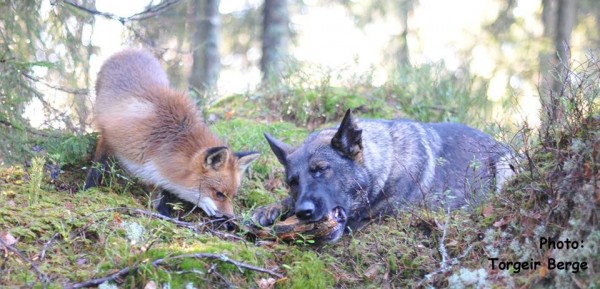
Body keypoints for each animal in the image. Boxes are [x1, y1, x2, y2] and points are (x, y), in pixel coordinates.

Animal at [84, 49, 258, 216]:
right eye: (219, 194)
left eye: (232, 196)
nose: (231, 219)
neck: (162, 140)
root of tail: (131, 50)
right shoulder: (110, 134)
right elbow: (97, 166)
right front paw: (87, 188)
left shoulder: (152, 169)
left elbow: (158, 194)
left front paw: (164, 213)